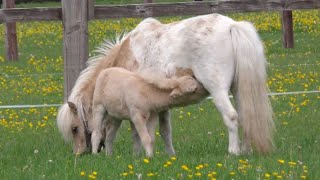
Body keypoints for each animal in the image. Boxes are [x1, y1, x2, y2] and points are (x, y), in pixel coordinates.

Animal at [57, 13, 272, 155]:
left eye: (75, 128)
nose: (80, 154)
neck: (125, 55)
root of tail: (232, 26)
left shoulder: (137, 107)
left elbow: (137, 133)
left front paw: (138, 156)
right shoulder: (161, 106)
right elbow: (165, 131)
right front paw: (170, 156)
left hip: (218, 90)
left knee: (232, 117)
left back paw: (233, 152)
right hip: (238, 90)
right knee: (245, 116)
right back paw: (246, 151)